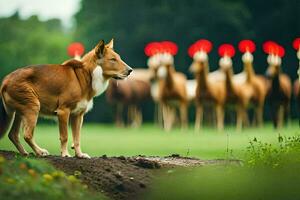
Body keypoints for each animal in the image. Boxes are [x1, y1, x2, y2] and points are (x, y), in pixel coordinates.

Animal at [0, 38, 132, 158]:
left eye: (119, 58)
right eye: (113, 59)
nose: (130, 70)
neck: (85, 76)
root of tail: (5, 81)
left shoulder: (77, 115)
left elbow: (77, 138)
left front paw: (79, 155)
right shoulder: (63, 112)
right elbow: (65, 137)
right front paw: (65, 154)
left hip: (19, 113)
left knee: (13, 135)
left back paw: (24, 153)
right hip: (32, 108)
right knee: (27, 135)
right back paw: (40, 152)